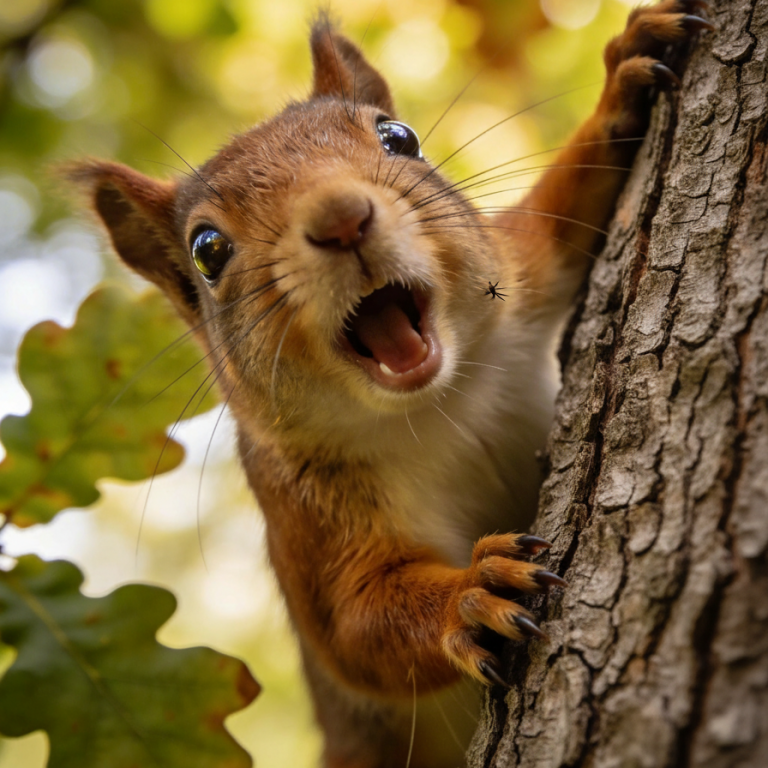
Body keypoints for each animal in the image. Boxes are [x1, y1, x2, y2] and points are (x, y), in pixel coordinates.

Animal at [67, 2, 711, 766]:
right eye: (207, 250)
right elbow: (355, 629)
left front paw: (623, 81)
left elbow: (563, 204)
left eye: (399, 138)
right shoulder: (302, 513)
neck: (442, 405)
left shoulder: (525, 268)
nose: (341, 216)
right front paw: (472, 593)